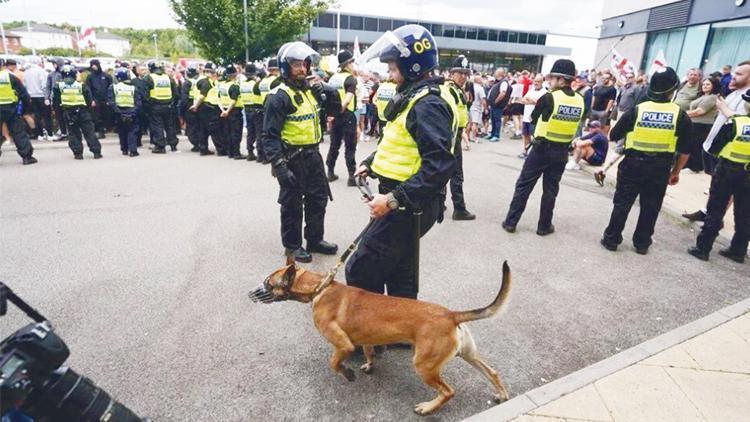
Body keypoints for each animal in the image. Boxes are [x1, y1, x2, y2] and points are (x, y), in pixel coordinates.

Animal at [250, 258, 516, 414]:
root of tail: (451, 315)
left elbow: (334, 363)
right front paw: (369, 365)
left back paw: (428, 408)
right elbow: (369, 352)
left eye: (268, 282)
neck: (319, 287)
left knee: (448, 391)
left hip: (424, 365)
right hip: (468, 355)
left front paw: (348, 373)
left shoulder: (343, 345)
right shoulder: (366, 339)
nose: (251, 293)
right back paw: (502, 394)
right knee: (491, 372)